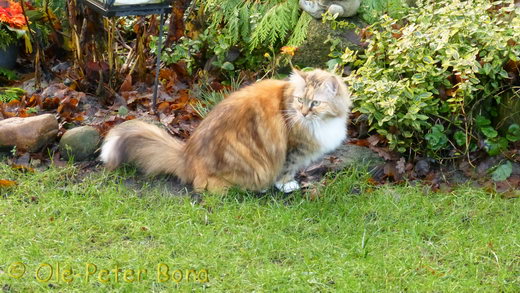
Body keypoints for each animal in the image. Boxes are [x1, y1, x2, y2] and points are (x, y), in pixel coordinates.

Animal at [100, 69, 354, 193]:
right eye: (300, 100)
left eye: (315, 103)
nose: (302, 113)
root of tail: (186, 156)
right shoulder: (293, 148)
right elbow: (286, 169)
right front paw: (286, 185)